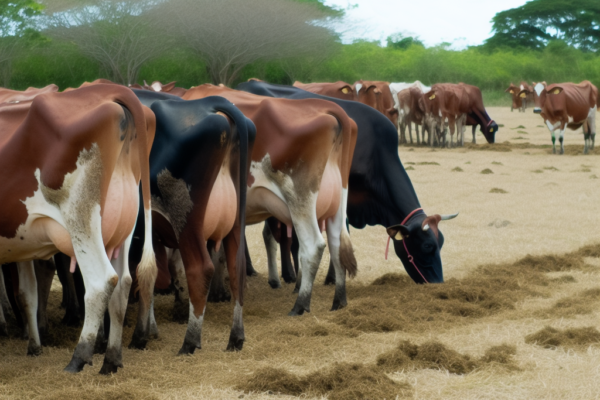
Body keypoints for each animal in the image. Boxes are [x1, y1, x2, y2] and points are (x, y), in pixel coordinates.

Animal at [0, 84, 157, 376]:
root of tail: (106, 90)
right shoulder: (21, 243)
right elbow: (27, 293)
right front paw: (34, 346)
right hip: (123, 228)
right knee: (123, 283)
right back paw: (111, 360)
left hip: (81, 219)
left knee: (100, 282)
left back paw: (79, 357)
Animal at [126, 89, 255, 354]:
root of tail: (212, 101)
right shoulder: (151, 235)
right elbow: (153, 274)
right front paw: (150, 330)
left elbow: (138, 274)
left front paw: (139, 334)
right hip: (234, 224)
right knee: (236, 269)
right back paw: (235, 338)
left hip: (185, 218)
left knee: (200, 269)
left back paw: (190, 341)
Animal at [183, 85, 358, 316]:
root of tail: (327, 107)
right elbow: (219, 252)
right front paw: (218, 293)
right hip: (336, 205)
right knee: (337, 243)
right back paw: (339, 301)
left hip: (300, 199)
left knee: (313, 246)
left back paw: (300, 305)